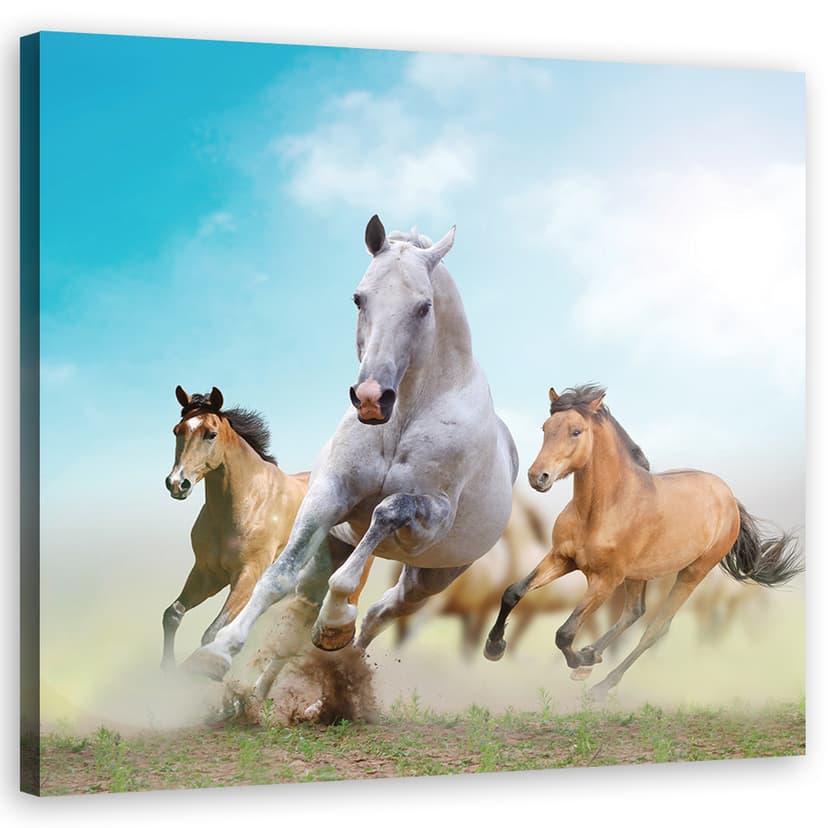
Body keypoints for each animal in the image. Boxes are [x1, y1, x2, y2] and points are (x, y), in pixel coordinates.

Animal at [162, 386, 373, 671]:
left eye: (211, 434)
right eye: (177, 430)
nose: (177, 483)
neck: (247, 503)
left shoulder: (248, 576)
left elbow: (212, 632)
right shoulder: (207, 573)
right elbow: (173, 614)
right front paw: (166, 670)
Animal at [184, 215, 518, 691]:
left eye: (424, 307)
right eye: (359, 298)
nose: (372, 399)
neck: (403, 418)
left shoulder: (430, 518)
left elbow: (386, 513)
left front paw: (337, 619)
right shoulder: (329, 494)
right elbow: (276, 577)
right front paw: (217, 652)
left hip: (430, 578)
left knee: (381, 613)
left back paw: (338, 654)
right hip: (335, 550)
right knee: (302, 617)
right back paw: (262, 692)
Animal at [484, 384, 802, 701]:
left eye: (576, 431)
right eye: (545, 428)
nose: (538, 476)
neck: (602, 509)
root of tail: (728, 496)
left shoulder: (605, 579)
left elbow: (564, 632)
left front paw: (580, 659)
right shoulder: (562, 558)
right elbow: (513, 592)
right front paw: (494, 648)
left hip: (692, 573)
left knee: (656, 628)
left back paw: (601, 684)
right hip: (640, 574)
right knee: (634, 612)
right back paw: (592, 656)